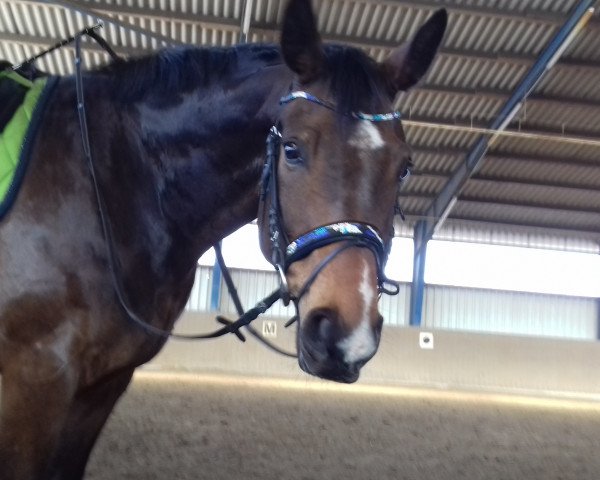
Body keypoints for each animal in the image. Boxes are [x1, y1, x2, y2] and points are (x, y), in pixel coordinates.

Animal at [0, 1, 446, 478]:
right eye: (291, 149)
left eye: (404, 167)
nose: (347, 337)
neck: (109, 180)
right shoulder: (34, 382)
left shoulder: (99, 389)